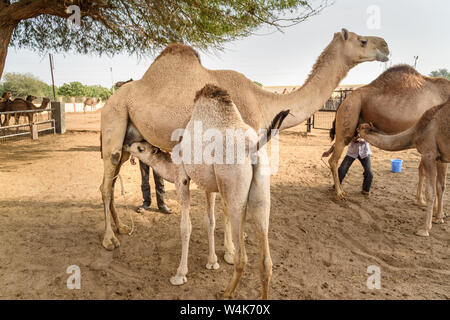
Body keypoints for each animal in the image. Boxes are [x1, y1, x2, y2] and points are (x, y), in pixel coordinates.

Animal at [100, 28, 388, 251]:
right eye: (362, 40)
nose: (385, 46)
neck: (262, 102)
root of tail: (111, 99)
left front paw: (235, 242)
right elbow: (230, 204)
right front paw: (230, 251)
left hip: (128, 140)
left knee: (111, 183)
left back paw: (121, 228)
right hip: (114, 121)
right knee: (105, 184)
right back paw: (109, 240)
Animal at [125, 84, 290, 298]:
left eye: (140, 148)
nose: (128, 145)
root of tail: (252, 147)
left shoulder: (182, 178)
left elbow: (186, 226)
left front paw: (180, 274)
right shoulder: (209, 186)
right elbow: (210, 222)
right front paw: (212, 262)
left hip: (233, 186)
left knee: (242, 257)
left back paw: (226, 292)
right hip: (261, 188)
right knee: (266, 260)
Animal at [324, 64, 450, 200]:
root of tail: (344, 100)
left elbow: (423, 171)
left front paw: (420, 200)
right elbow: (440, 185)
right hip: (350, 109)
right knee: (334, 158)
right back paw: (339, 193)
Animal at [358, 99, 450, 236]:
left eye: (361, 128)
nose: (356, 129)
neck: (417, 132)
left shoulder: (429, 153)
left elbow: (431, 191)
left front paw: (424, 229)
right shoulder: (440, 157)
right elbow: (441, 187)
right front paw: (439, 218)